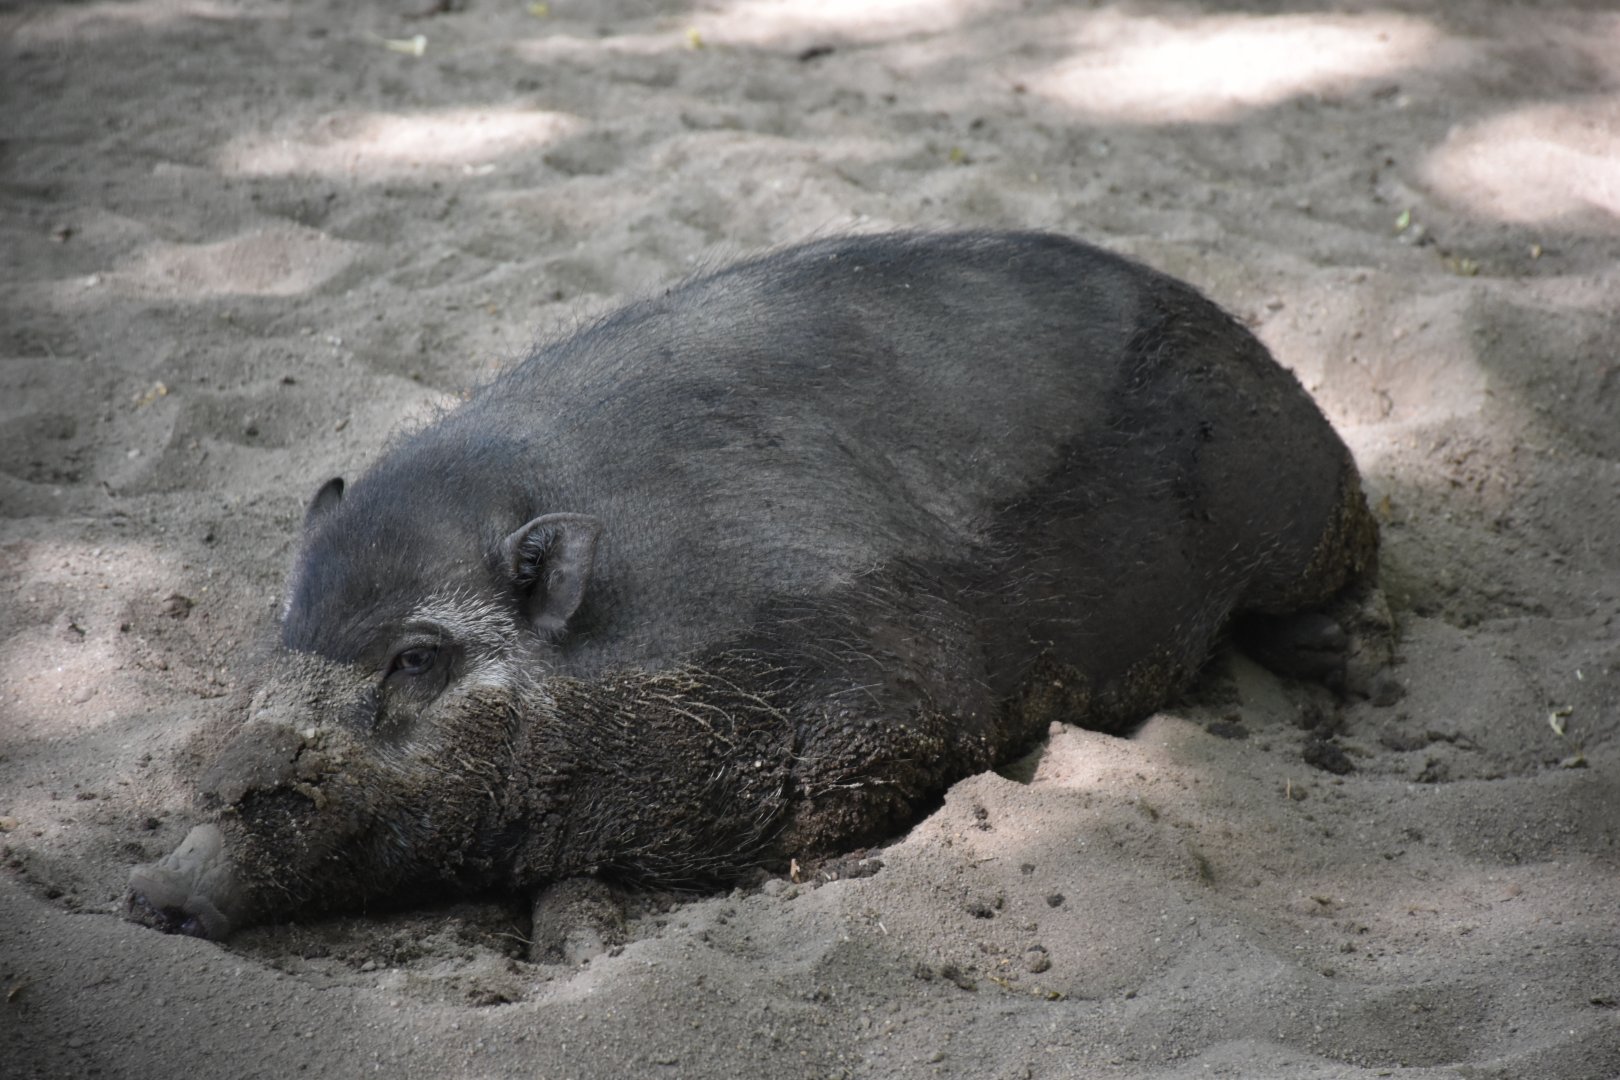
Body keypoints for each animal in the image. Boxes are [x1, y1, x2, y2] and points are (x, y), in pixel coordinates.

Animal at [126, 230, 1380, 940]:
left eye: (416, 659)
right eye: (283, 631)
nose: (156, 894)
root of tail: (1233, 324)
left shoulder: (882, 730)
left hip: (1305, 513)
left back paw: (1343, 673)